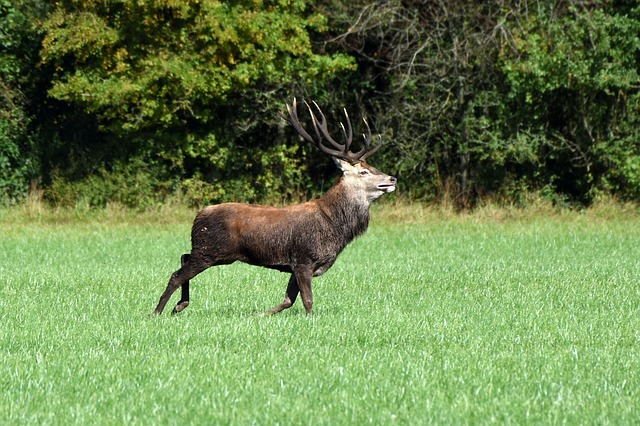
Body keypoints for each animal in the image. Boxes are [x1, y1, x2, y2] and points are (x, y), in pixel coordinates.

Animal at [152, 98, 397, 316]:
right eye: (363, 171)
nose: (392, 178)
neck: (336, 226)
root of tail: (198, 215)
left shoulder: (295, 265)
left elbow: (288, 300)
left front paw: (258, 315)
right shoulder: (304, 259)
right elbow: (307, 301)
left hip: (212, 252)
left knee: (183, 257)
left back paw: (178, 306)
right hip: (209, 250)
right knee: (177, 274)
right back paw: (158, 311)